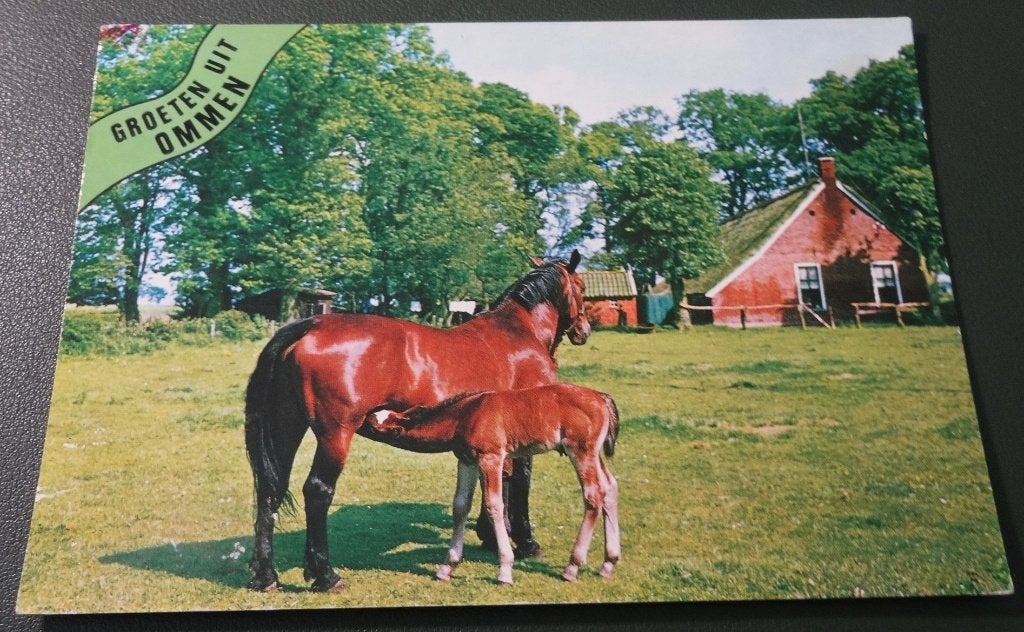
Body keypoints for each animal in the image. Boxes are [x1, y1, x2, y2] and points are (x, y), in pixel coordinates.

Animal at [244, 251, 590, 592]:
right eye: (582, 287)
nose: (584, 330)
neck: (518, 332)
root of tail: (310, 325)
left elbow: (497, 484)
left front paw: (491, 536)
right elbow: (520, 483)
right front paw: (527, 542)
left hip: (288, 427)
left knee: (270, 490)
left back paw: (266, 576)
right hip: (335, 434)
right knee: (317, 492)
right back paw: (326, 576)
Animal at [364, 383, 621, 585]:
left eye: (373, 424)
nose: (361, 418)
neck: (465, 415)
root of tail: (601, 397)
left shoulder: (491, 458)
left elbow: (494, 505)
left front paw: (505, 570)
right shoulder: (466, 460)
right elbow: (460, 506)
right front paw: (447, 566)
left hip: (580, 451)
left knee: (593, 496)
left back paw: (572, 567)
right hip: (593, 454)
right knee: (609, 487)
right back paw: (609, 563)